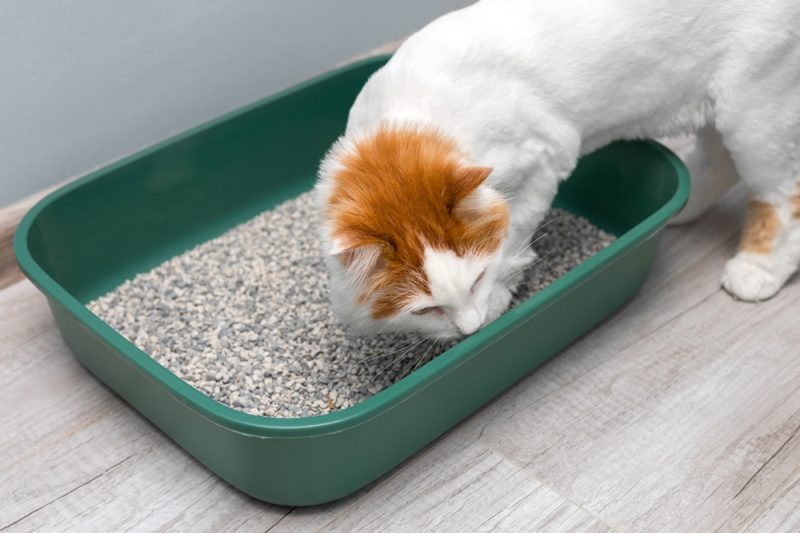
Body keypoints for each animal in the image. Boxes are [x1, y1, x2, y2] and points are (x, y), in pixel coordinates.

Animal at [318, 0, 800, 338]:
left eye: (475, 282)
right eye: (426, 309)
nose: (468, 329)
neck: (410, 123)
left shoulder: (544, 159)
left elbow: (511, 236)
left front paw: (497, 297)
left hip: (754, 110)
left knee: (780, 195)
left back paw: (757, 269)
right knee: (724, 162)